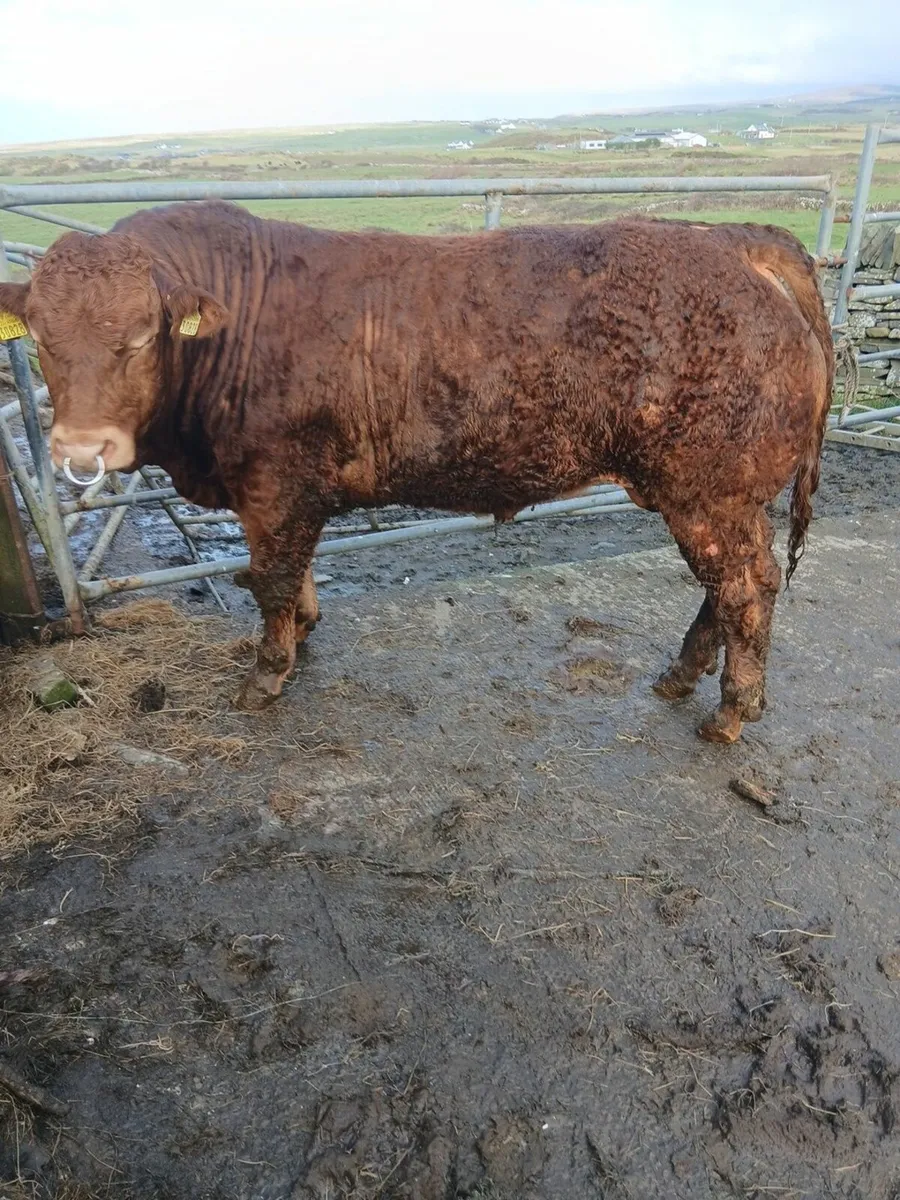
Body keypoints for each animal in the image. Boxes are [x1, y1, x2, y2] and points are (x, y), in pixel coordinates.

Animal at [0, 201, 833, 743]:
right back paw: (680, 674)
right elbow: (294, 572)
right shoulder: (284, 492)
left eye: (144, 335)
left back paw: (732, 708)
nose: (83, 448)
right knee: (727, 587)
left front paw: (268, 673)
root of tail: (730, 239)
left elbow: (270, 577)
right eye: (37, 334)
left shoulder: (276, 482)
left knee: (746, 587)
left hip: (709, 491)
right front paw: (304, 630)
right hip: (721, 496)